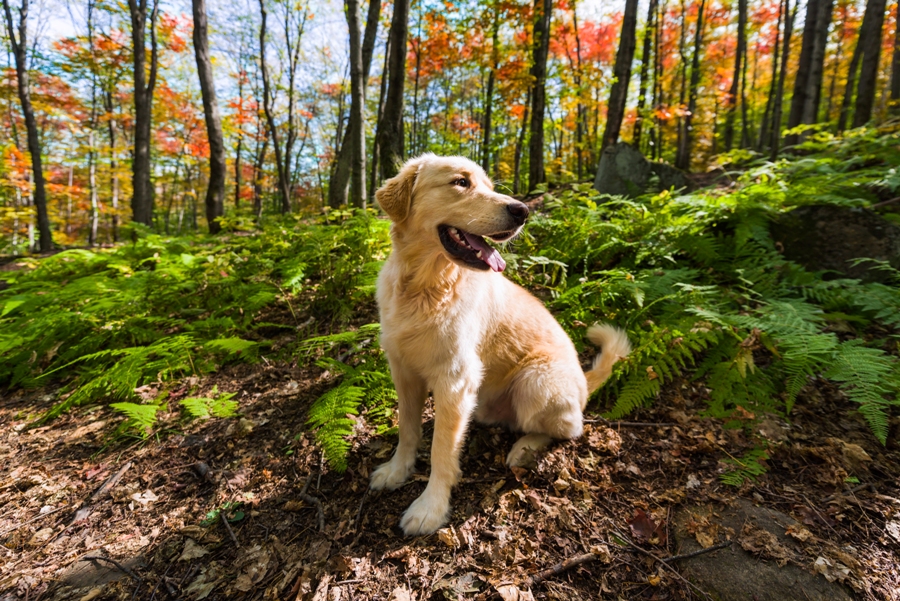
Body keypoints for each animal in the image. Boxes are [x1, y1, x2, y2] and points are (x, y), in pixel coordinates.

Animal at [370, 151, 628, 536]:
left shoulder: (456, 379)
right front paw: (397, 470)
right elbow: (408, 429)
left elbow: (441, 450)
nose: (522, 211)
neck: (425, 286)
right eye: (461, 182)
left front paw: (431, 507)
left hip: (536, 381)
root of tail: (585, 382)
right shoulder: (403, 370)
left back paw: (525, 447)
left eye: (490, 186)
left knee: (570, 427)